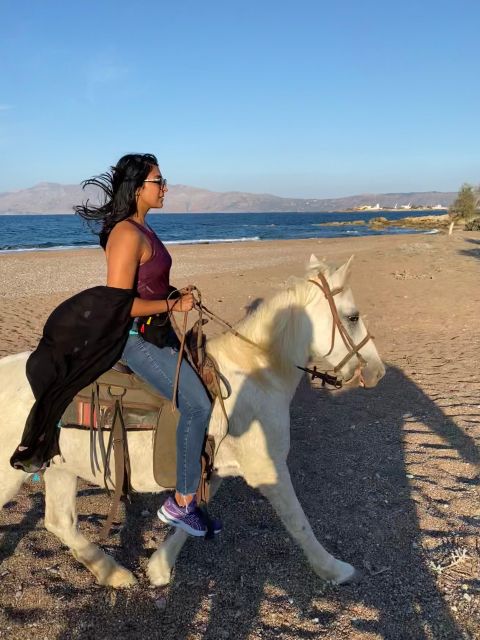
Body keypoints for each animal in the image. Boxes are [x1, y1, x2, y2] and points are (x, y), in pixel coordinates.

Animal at [0, 255, 385, 588]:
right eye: (353, 317)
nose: (377, 371)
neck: (257, 373)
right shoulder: (269, 469)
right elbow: (299, 523)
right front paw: (334, 569)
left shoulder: (213, 468)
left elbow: (189, 514)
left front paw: (158, 567)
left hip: (60, 467)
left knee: (60, 522)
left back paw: (114, 573)